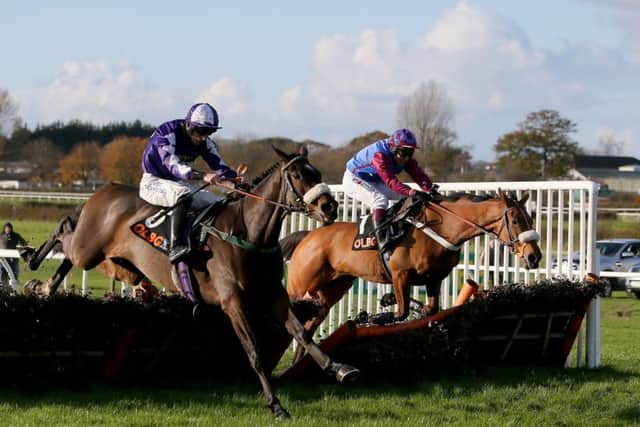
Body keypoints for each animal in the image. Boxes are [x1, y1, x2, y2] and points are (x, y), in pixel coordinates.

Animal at [22, 145, 358, 420]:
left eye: (316, 173)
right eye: (299, 175)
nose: (329, 207)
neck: (249, 233)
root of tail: (104, 190)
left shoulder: (273, 294)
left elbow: (302, 332)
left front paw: (340, 368)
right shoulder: (233, 302)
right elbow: (255, 353)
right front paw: (275, 405)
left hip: (111, 262)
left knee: (72, 254)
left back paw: (46, 285)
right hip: (87, 250)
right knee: (64, 230)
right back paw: (32, 261)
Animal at [280, 191, 540, 358]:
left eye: (530, 218)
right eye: (515, 220)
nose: (534, 257)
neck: (440, 229)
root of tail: (306, 237)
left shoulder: (434, 279)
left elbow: (429, 310)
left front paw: (392, 301)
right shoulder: (400, 274)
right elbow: (402, 311)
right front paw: (376, 314)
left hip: (329, 293)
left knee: (307, 329)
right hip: (299, 288)